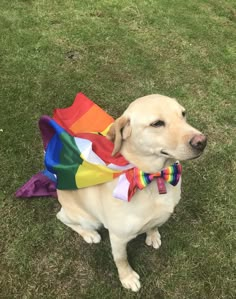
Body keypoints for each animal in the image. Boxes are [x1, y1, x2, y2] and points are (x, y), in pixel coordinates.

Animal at [56, 95, 206, 292]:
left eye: (183, 114)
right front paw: (127, 278)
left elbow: (153, 225)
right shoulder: (118, 238)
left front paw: (153, 235)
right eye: (157, 123)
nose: (202, 141)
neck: (153, 178)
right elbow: (121, 260)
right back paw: (89, 234)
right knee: (62, 218)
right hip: (87, 219)